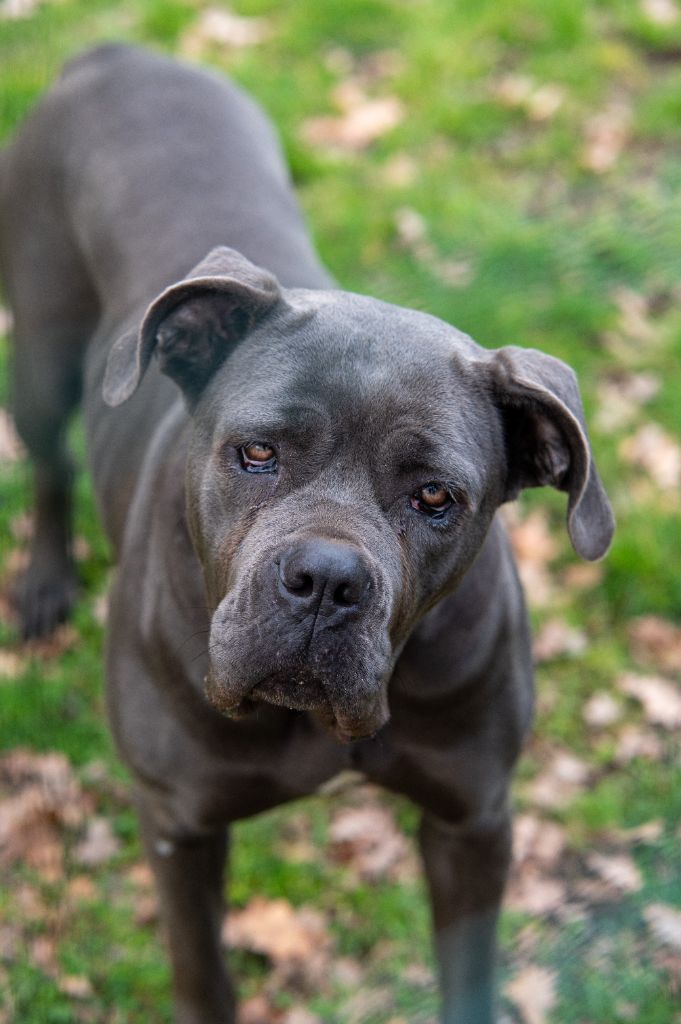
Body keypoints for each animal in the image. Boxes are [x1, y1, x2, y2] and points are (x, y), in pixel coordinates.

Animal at [0, 46, 614, 1024]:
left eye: (435, 497)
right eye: (257, 453)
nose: (326, 580)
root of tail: (117, 55)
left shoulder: (471, 819)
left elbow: (468, 974)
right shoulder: (179, 827)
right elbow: (202, 977)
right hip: (43, 347)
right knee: (49, 464)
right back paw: (45, 585)